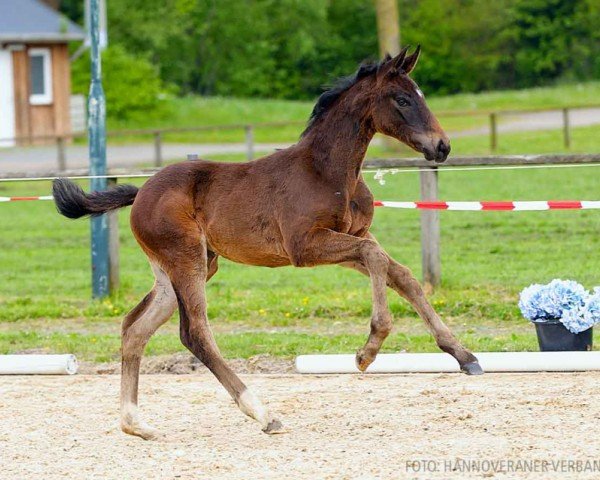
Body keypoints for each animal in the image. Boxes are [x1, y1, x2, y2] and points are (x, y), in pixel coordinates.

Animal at [52, 47, 482, 440]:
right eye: (403, 99)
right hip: (186, 260)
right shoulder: (305, 246)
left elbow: (403, 275)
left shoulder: (353, 236)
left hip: (183, 268)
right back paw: (262, 413)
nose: (442, 146)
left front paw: (464, 356)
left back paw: (136, 424)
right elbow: (376, 259)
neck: (326, 171)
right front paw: (368, 350)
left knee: (134, 328)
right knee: (194, 332)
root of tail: (141, 192)